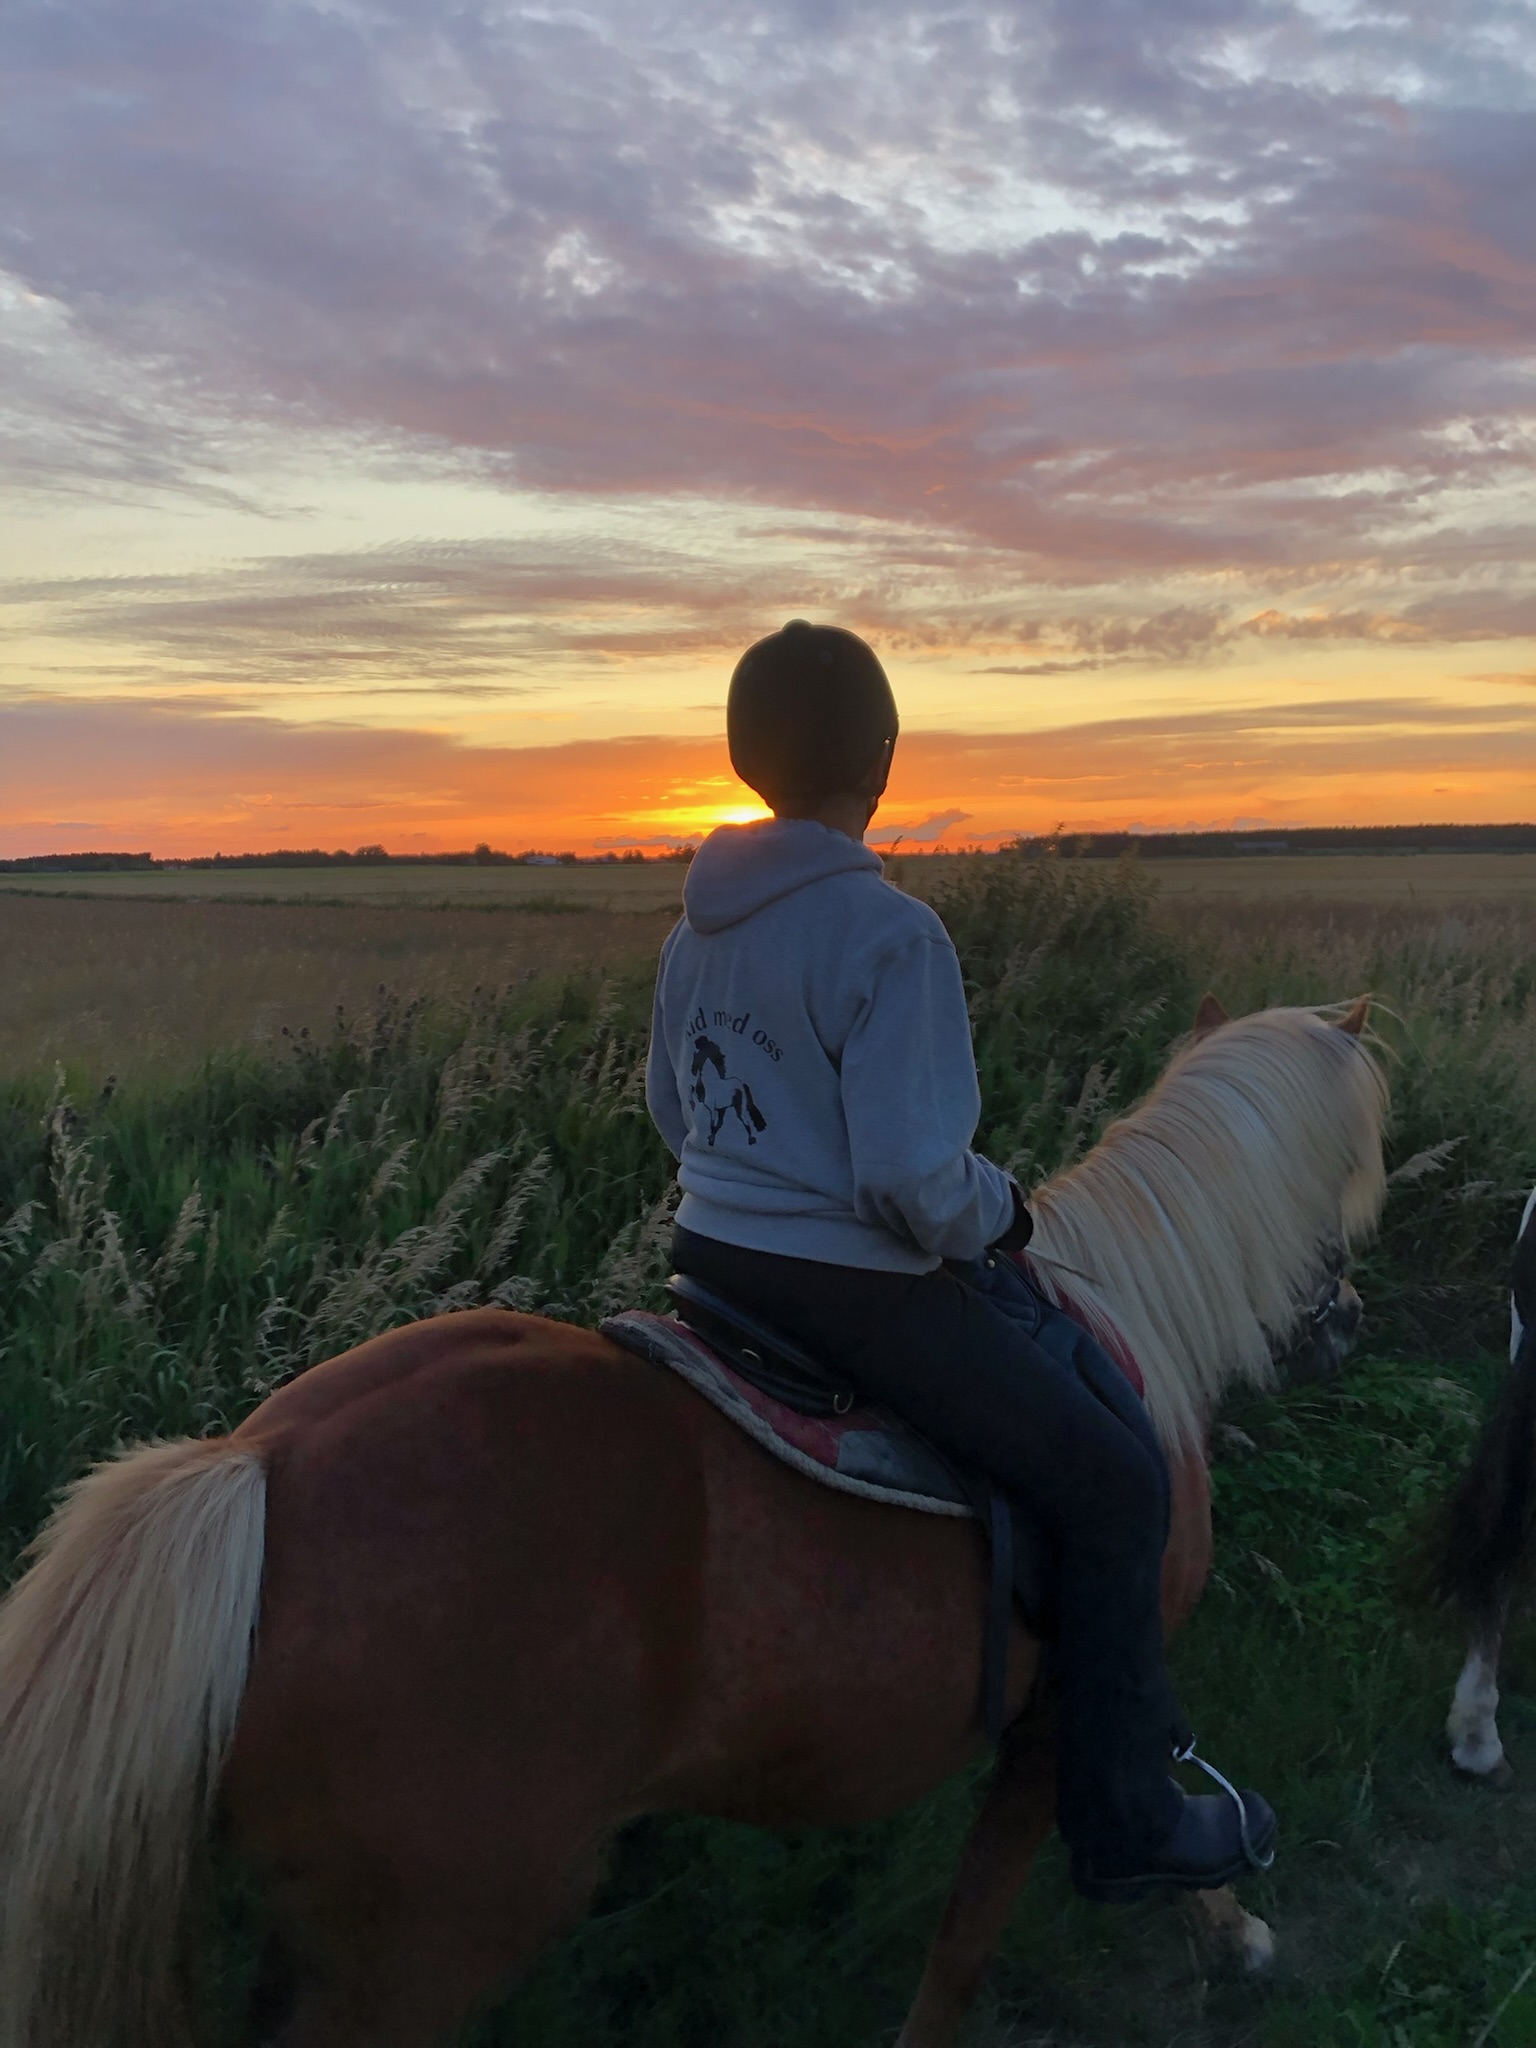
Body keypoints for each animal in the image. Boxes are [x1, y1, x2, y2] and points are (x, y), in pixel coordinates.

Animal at [0, 995, 1392, 2048]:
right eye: (1359, 1173)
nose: (1344, 1321)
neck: (1131, 1328)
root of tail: (255, 1471)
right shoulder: (1067, 1703)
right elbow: (974, 1932)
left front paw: (1228, 1924)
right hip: (423, 1946)